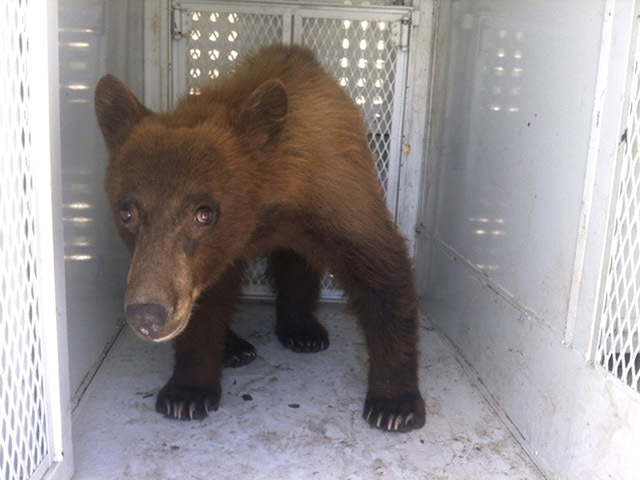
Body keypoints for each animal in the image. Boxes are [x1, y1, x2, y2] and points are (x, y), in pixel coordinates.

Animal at [94, 43, 424, 432]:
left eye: (203, 212)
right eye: (127, 213)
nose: (146, 314)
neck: (271, 204)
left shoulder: (337, 193)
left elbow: (383, 272)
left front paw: (395, 403)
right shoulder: (208, 260)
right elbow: (205, 302)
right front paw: (187, 393)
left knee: (298, 262)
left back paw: (303, 330)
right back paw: (237, 347)